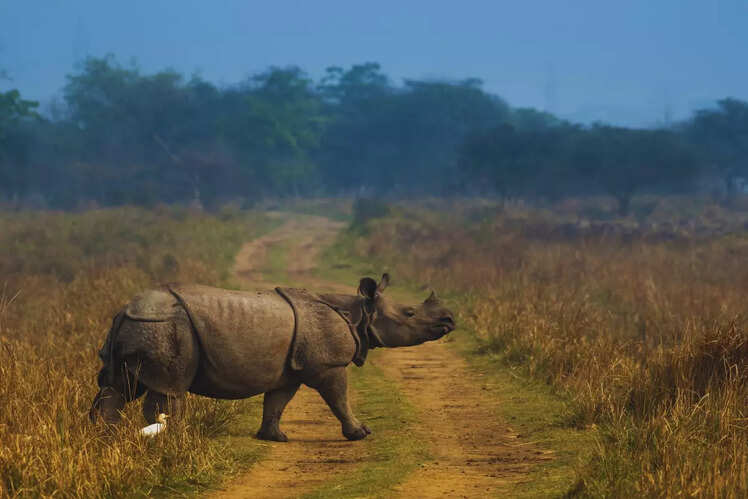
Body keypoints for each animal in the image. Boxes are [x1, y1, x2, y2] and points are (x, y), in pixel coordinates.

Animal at [89, 274, 456, 441]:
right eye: (410, 313)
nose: (449, 320)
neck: (358, 313)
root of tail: (123, 311)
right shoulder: (329, 365)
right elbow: (339, 398)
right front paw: (360, 433)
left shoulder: (289, 368)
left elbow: (277, 401)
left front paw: (274, 437)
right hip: (165, 326)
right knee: (168, 389)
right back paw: (176, 440)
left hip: (139, 326)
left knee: (118, 386)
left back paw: (106, 439)